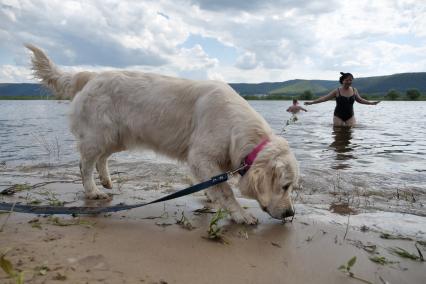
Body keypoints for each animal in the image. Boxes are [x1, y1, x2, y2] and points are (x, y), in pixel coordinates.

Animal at [26, 43, 298, 224]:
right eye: (285, 186)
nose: (290, 213)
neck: (237, 128)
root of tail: (91, 75)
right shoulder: (201, 156)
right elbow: (226, 189)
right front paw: (240, 215)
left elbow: (215, 184)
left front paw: (211, 197)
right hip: (98, 135)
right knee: (85, 164)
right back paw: (93, 191)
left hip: (117, 137)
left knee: (102, 159)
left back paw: (107, 180)